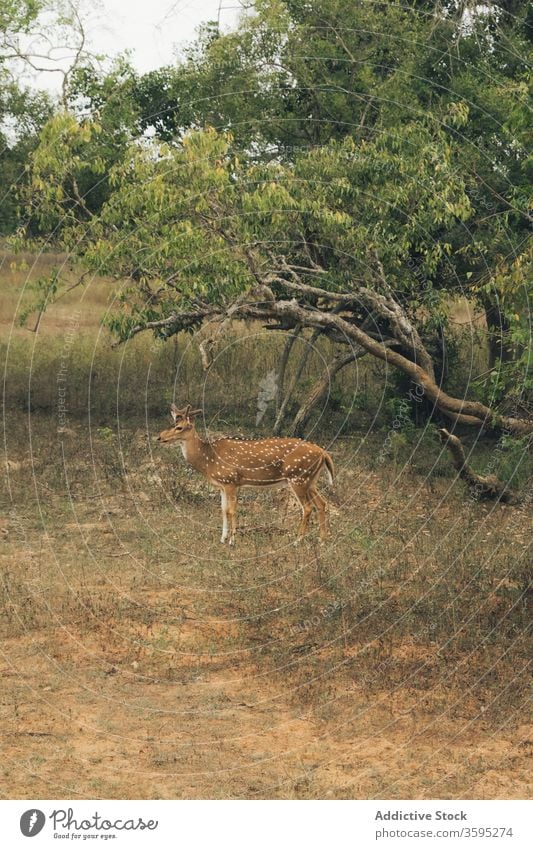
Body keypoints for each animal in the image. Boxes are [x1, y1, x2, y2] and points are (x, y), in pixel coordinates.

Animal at [156, 402, 334, 548]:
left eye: (179, 427)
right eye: (172, 423)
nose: (159, 437)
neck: (208, 460)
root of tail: (323, 453)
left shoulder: (230, 481)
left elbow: (232, 510)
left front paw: (233, 541)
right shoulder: (222, 485)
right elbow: (223, 510)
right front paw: (222, 539)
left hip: (298, 477)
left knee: (308, 507)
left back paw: (298, 541)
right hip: (310, 480)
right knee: (322, 503)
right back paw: (322, 540)